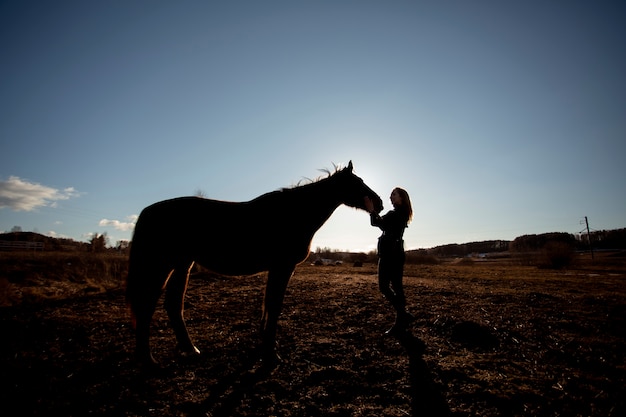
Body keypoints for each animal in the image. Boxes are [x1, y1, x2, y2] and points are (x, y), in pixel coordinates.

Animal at [125, 161, 380, 366]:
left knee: (173, 305)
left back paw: (189, 349)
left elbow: (268, 306)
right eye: (358, 182)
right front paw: (271, 355)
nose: (379, 203)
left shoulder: (278, 269)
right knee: (146, 306)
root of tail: (149, 211)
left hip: (182, 264)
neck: (293, 213)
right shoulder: (282, 267)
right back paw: (147, 359)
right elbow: (274, 306)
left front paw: (266, 348)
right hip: (161, 265)